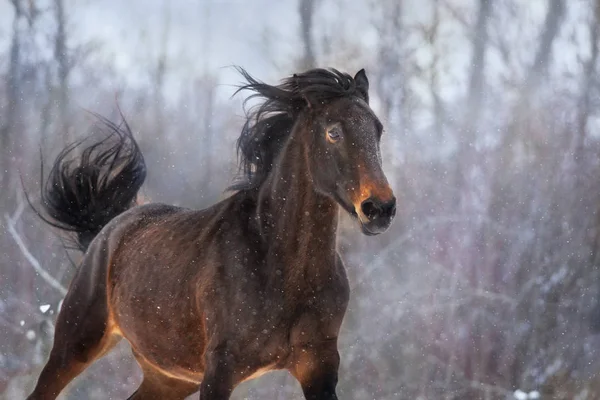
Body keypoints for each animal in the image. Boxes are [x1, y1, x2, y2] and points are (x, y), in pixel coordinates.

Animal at [28, 67, 396, 398]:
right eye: (333, 132)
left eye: (378, 130)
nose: (380, 208)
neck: (283, 267)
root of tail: (108, 229)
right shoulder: (221, 369)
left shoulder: (318, 365)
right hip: (76, 345)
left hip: (169, 378)